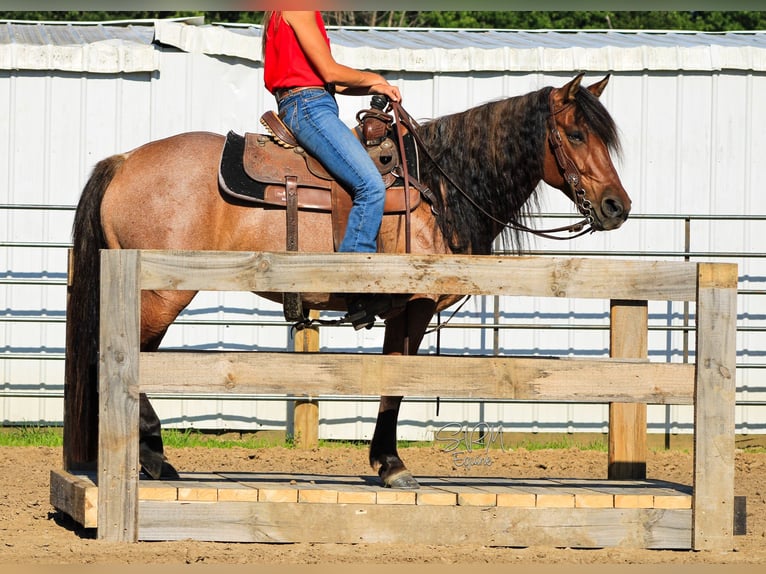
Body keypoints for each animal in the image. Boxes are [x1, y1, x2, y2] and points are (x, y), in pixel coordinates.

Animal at [65, 73, 630, 489]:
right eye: (576, 134)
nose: (616, 206)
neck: (440, 189)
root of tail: (124, 162)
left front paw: (386, 461)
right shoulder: (414, 304)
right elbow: (395, 385)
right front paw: (392, 465)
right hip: (161, 293)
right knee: (125, 359)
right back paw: (154, 457)